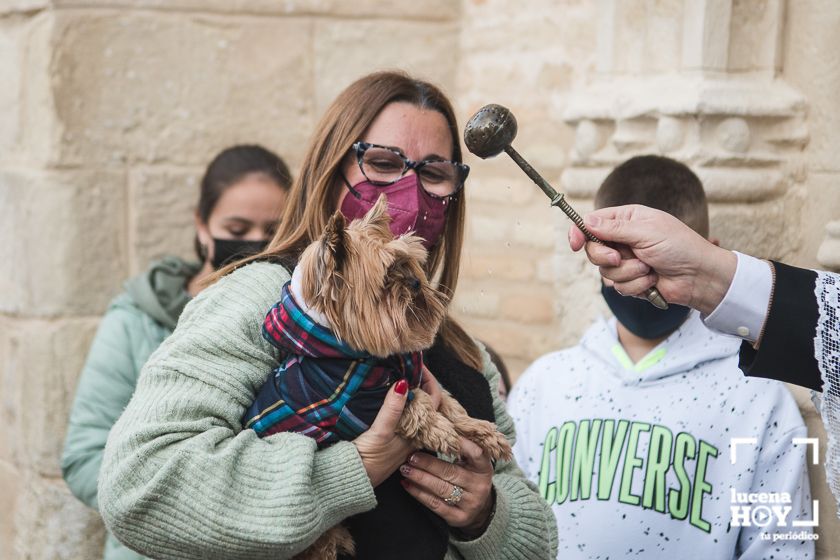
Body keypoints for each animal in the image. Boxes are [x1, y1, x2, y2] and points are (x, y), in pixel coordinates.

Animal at [243, 195, 512, 556]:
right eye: (387, 277)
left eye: (408, 264)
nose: (415, 283)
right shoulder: (359, 404)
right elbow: (417, 403)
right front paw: (441, 431)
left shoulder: (420, 377)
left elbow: (450, 404)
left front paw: (482, 431)